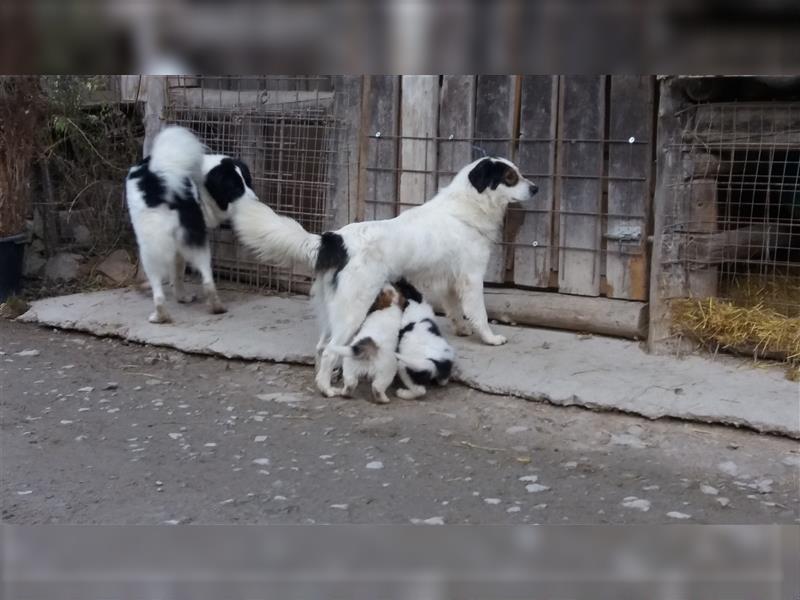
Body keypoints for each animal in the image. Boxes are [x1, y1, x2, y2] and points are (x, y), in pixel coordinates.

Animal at [225, 157, 536, 396]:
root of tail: (334, 239)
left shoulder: (449, 281)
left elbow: (456, 310)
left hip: (335, 310)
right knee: (329, 350)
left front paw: (461, 329)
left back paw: (329, 377)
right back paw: (327, 389)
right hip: (353, 310)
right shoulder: (472, 277)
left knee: (322, 347)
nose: (536, 187)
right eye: (511, 177)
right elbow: (479, 314)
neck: (468, 207)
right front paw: (490, 338)